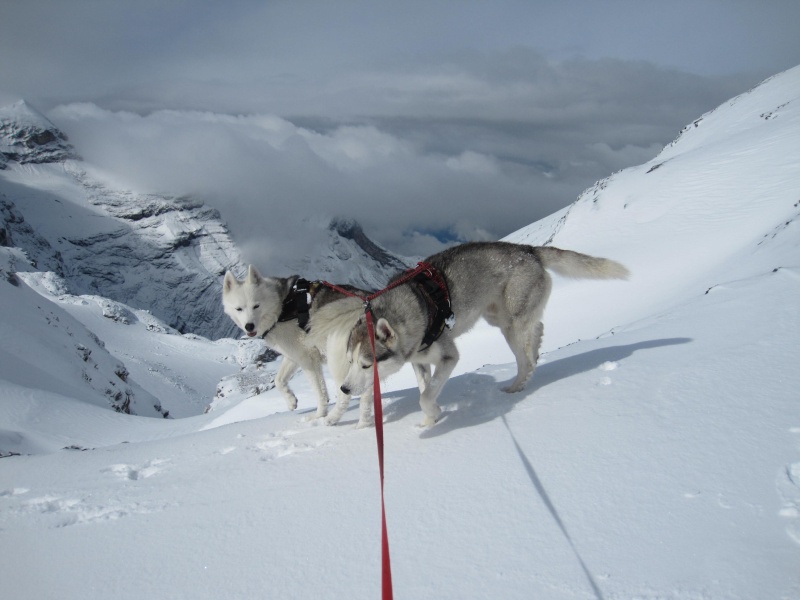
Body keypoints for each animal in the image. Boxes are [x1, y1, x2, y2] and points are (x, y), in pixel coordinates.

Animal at [222, 268, 366, 422]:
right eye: (239, 309)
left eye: (256, 306)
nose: (249, 326)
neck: (281, 307)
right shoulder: (293, 356)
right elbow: (279, 380)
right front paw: (291, 400)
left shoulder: (307, 359)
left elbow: (320, 392)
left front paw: (319, 415)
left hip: (337, 361)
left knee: (345, 393)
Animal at [310, 243, 628, 426]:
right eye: (350, 362)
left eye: (367, 364)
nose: (344, 389)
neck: (411, 309)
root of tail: (528, 249)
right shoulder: (419, 361)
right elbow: (424, 389)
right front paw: (430, 419)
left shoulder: (449, 356)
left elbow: (425, 395)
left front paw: (432, 411)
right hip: (499, 319)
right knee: (536, 330)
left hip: (513, 324)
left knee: (527, 358)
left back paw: (518, 385)